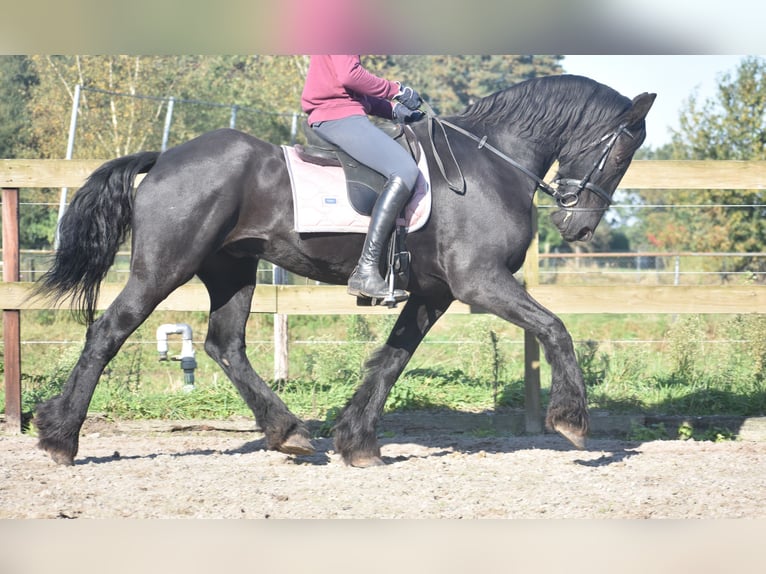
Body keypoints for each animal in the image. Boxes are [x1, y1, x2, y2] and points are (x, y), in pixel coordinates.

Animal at [31, 73, 656, 468]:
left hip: (233, 270)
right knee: (109, 330)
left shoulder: (434, 292)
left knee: (224, 346)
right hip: (164, 265)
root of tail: (166, 157)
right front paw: (571, 419)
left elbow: (392, 359)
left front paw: (357, 443)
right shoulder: (479, 281)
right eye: (623, 151)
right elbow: (555, 327)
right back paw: (61, 437)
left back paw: (288, 432)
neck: (488, 163)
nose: (578, 226)